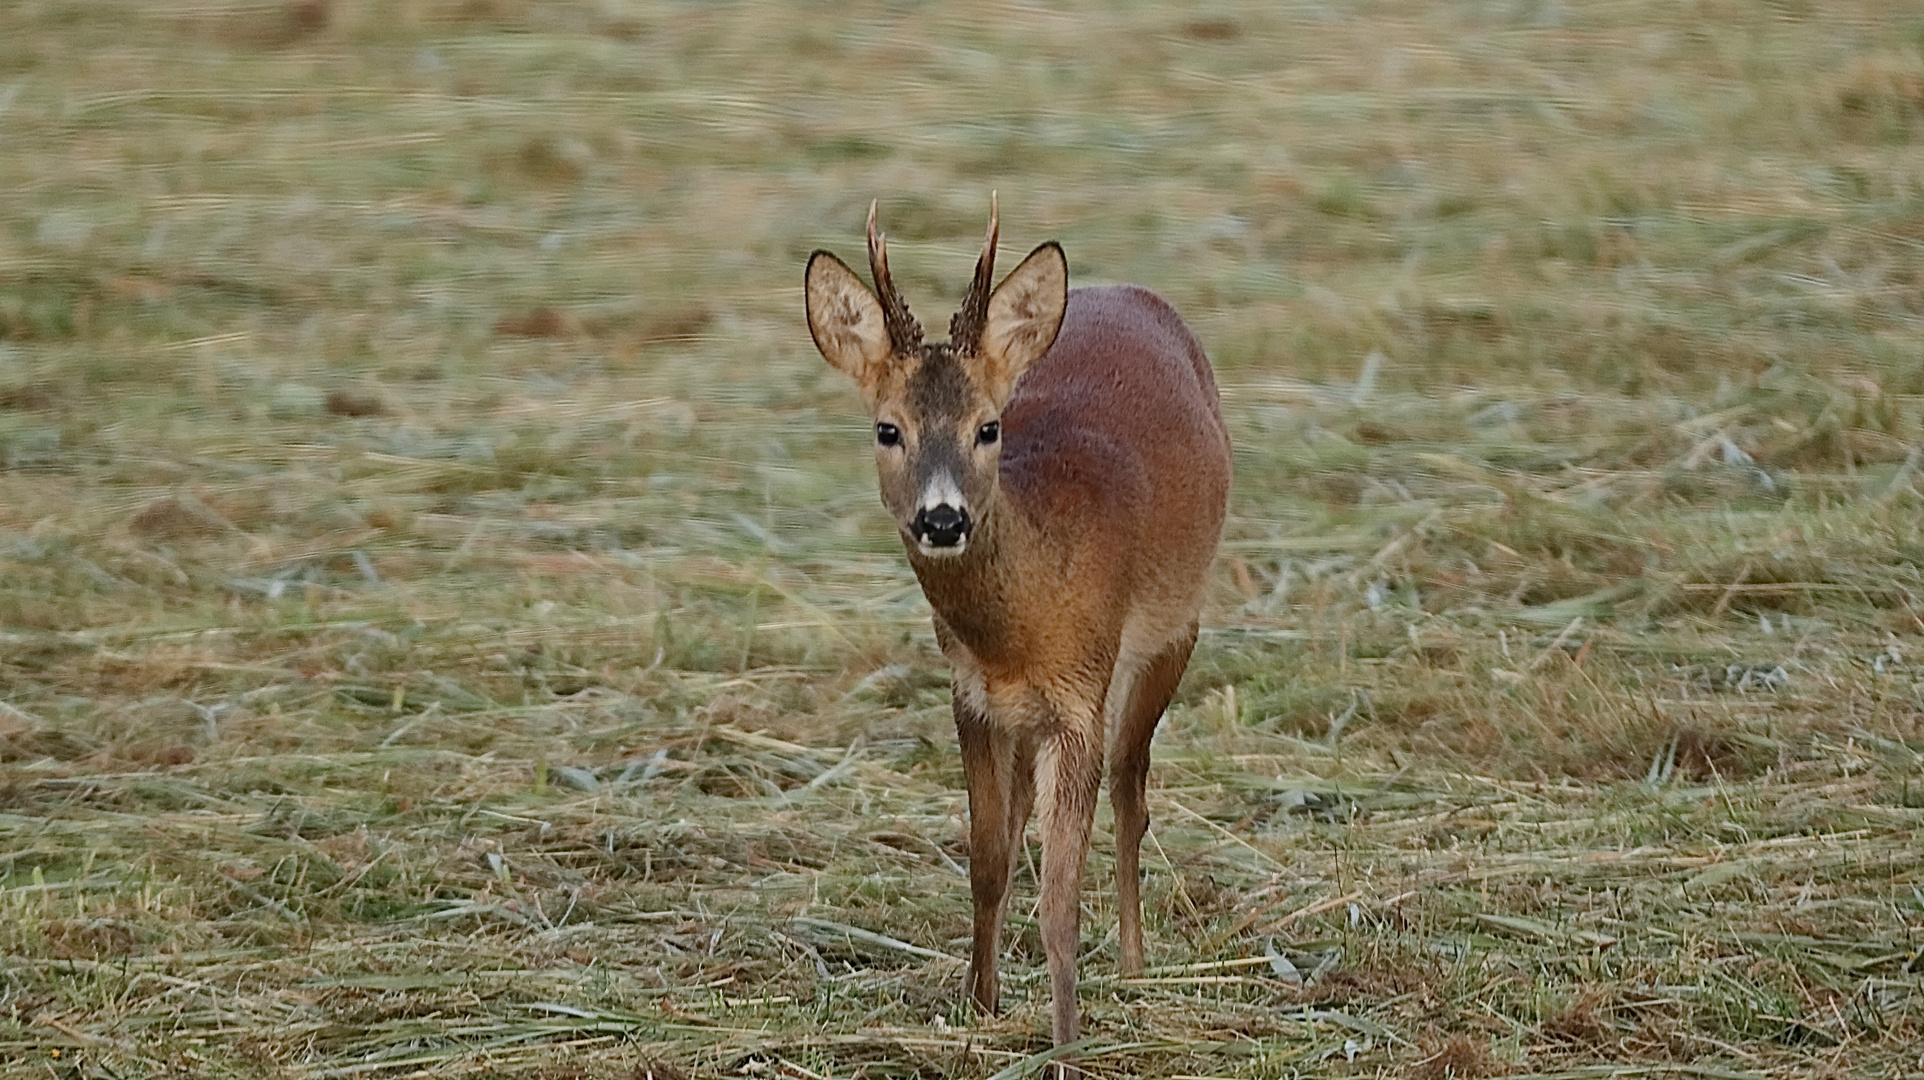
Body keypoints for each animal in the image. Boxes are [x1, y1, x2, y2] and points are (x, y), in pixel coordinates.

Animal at [800, 198, 1231, 1062]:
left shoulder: (1080, 698)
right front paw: (980, 1006)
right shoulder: (971, 697)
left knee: (1133, 786)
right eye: (888, 429)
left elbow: (1059, 897)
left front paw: (1065, 1045)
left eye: (988, 427)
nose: (942, 518)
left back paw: (1135, 964)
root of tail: (1125, 291)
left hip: (1175, 630)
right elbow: (990, 861)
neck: (1024, 623)